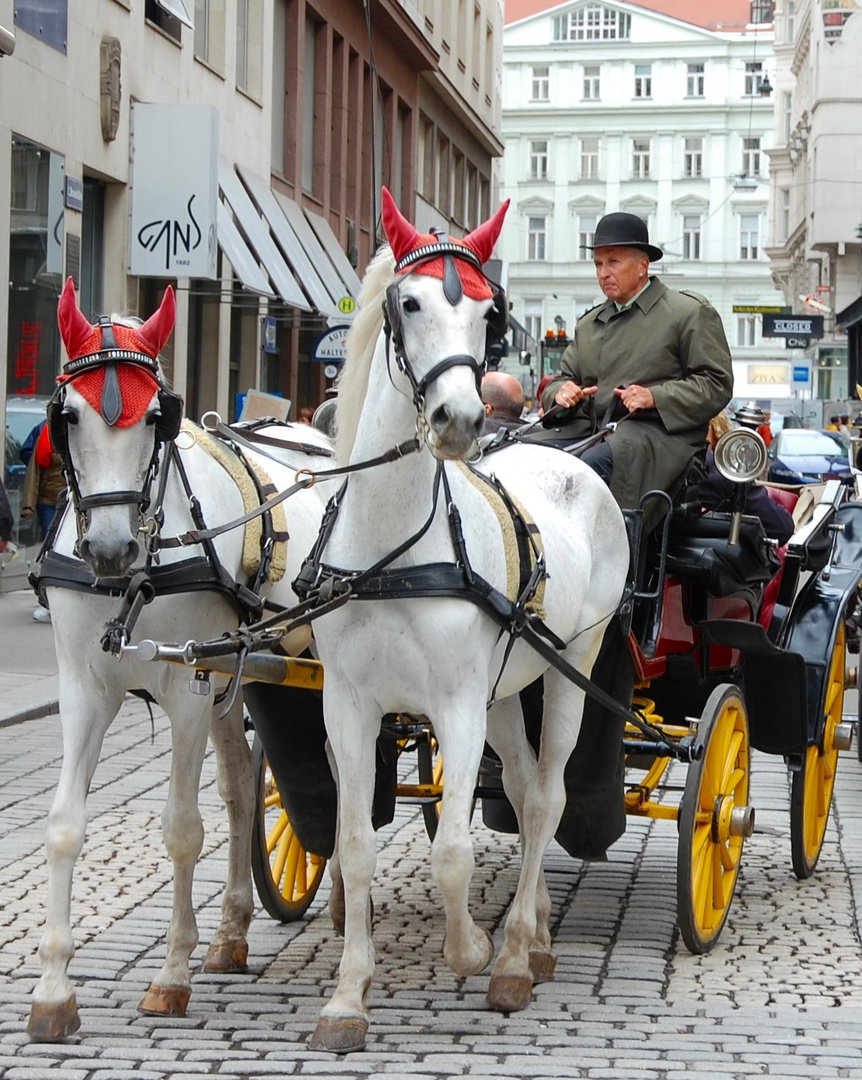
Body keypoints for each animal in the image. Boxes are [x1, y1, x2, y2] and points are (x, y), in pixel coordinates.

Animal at [27, 276, 330, 1036]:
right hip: (243, 676)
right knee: (244, 790)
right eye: (67, 416)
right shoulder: (83, 690)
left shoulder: (188, 688)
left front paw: (169, 975)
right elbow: (64, 826)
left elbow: (182, 830)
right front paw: (53, 990)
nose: (109, 549)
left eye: (157, 419)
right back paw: (230, 934)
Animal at [306, 190, 630, 1049]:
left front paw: (472, 949)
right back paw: (537, 928)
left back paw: (517, 953)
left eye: (490, 314)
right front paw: (346, 998)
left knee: (547, 797)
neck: (391, 551)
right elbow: (355, 845)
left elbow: (452, 848)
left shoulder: (454, 705)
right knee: (520, 786)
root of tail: (568, 451)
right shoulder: (347, 706)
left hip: (572, 666)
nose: (458, 419)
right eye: (410, 303)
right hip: (509, 686)